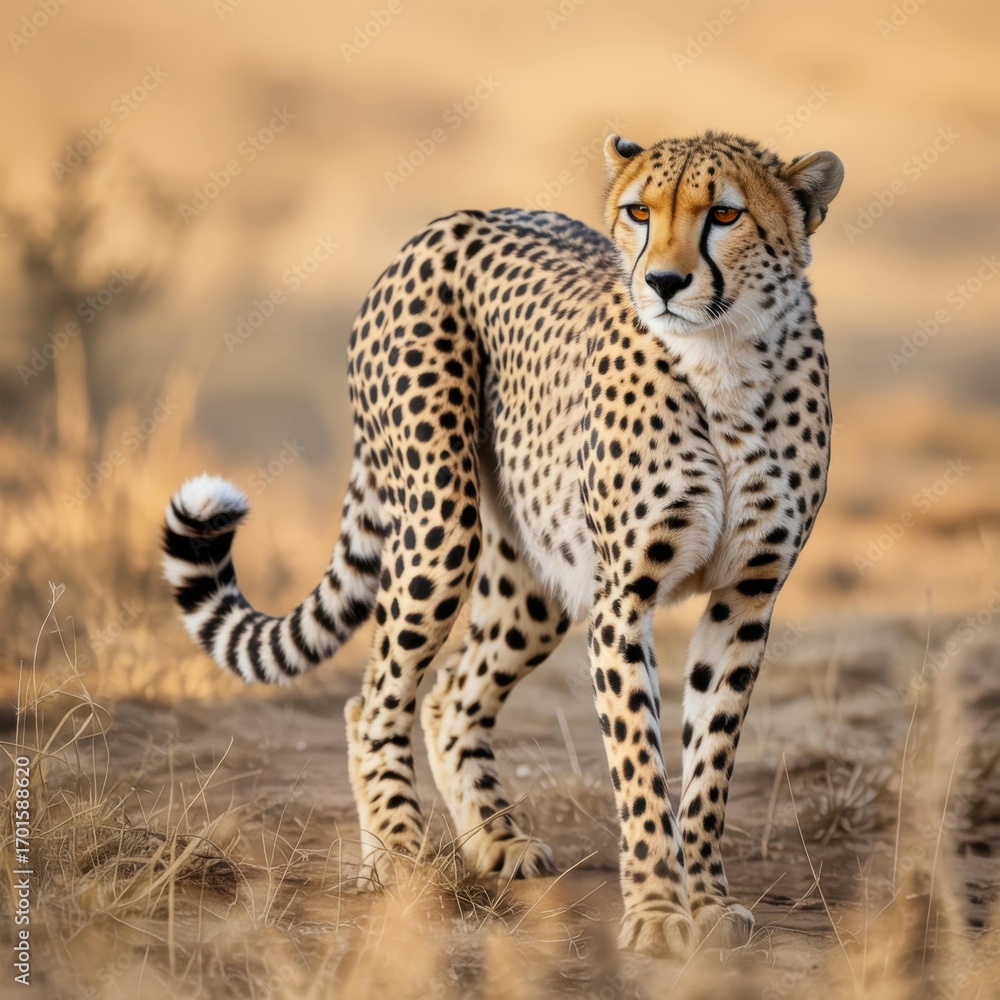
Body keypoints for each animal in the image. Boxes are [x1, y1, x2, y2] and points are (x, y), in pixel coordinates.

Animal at [161, 130, 843, 957]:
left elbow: (710, 760)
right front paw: (656, 910)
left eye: (725, 214)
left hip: (539, 574)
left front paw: (708, 900)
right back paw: (399, 853)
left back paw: (495, 838)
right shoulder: (624, 600)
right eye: (639, 212)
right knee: (375, 697)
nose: (664, 282)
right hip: (440, 526)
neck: (726, 362)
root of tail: (452, 220)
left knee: (451, 695)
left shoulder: (746, 596)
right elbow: (640, 768)